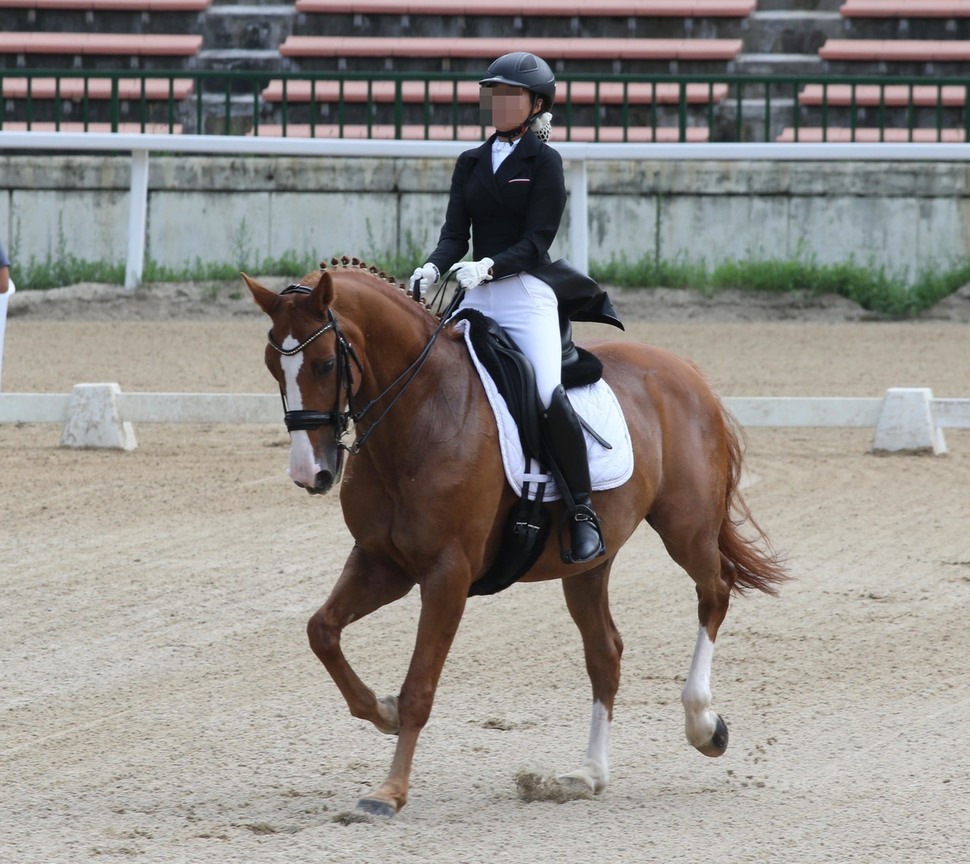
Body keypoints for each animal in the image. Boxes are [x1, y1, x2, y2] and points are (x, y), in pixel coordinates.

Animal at [244, 260, 788, 812]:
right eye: (272, 365)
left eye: (325, 365)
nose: (310, 474)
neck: (421, 410)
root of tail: (686, 370)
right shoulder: (383, 563)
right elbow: (322, 631)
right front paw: (383, 711)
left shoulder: (447, 573)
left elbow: (420, 685)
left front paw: (389, 791)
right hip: (588, 564)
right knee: (606, 652)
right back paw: (588, 774)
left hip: (686, 527)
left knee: (714, 592)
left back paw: (703, 725)